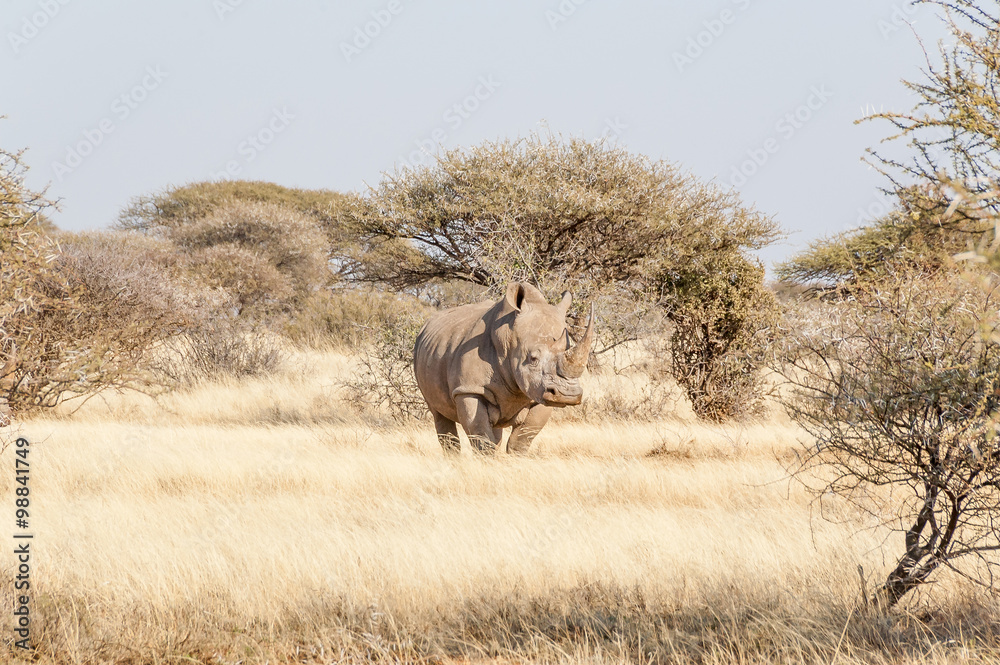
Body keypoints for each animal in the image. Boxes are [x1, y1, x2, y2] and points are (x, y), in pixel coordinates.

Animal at [413, 282, 595, 454]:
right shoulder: (468, 389)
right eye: (533, 359)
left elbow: (521, 440)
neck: (510, 339)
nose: (568, 395)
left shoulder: (542, 393)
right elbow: (482, 439)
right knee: (439, 414)